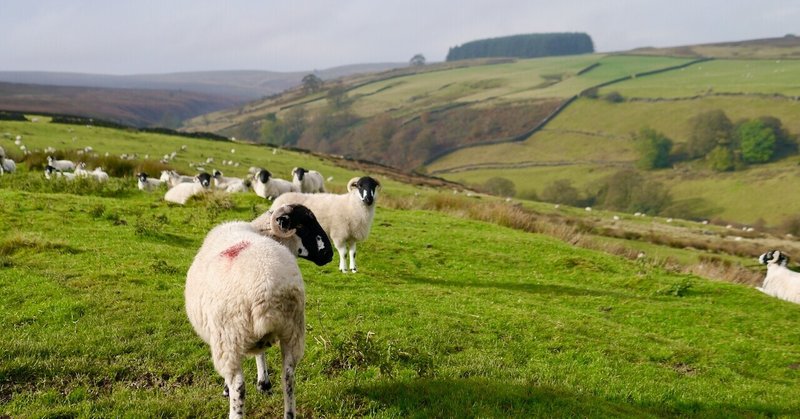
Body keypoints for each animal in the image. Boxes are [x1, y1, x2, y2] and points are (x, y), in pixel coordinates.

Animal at [186, 204, 332, 419]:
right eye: (302, 225)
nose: (329, 253)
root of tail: (267, 289)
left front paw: (230, 388)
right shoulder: (261, 336)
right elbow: (261, 353)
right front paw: (264, 383)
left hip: (228, 339)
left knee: (238, 386)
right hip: (293, 332)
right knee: (288, 376)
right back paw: (289, 412)